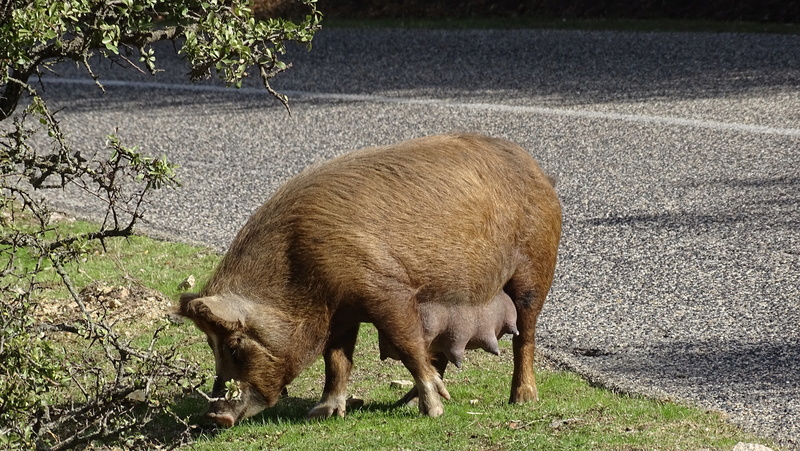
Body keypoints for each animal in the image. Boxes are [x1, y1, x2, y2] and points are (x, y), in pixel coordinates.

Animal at [178, 133, 564, 428]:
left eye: (234, 345)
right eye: (210, 344)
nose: (214, 415)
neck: (301, 275)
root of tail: (540, 172)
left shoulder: (388, 290)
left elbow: (407, 346)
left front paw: (435, 413)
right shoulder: (340, 314)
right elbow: (337, 361)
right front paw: (322, 413)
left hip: (536, 268)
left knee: (525, 334)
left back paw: (522, 399)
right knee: (442, 351)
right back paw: (410, 402)